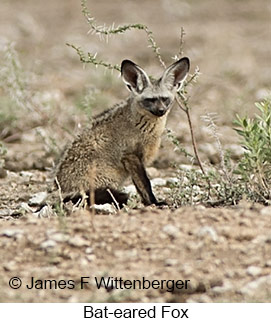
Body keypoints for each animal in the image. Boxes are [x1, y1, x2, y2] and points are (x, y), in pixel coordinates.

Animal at [55, 57, 190, 208]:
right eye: (150, 100)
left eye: (165, 99)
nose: (161, 111)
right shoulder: (130, 156)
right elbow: (145, 184)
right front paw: (153, 203)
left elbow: (140, 186)